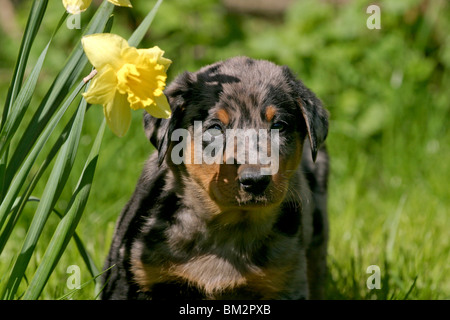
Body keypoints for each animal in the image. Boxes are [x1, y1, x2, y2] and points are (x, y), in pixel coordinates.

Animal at [100, 57, 328, 300]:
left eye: (278, 126)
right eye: (216, 128)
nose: (256, 180)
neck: (228, 228)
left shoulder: (286, 279)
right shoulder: (131, 275)